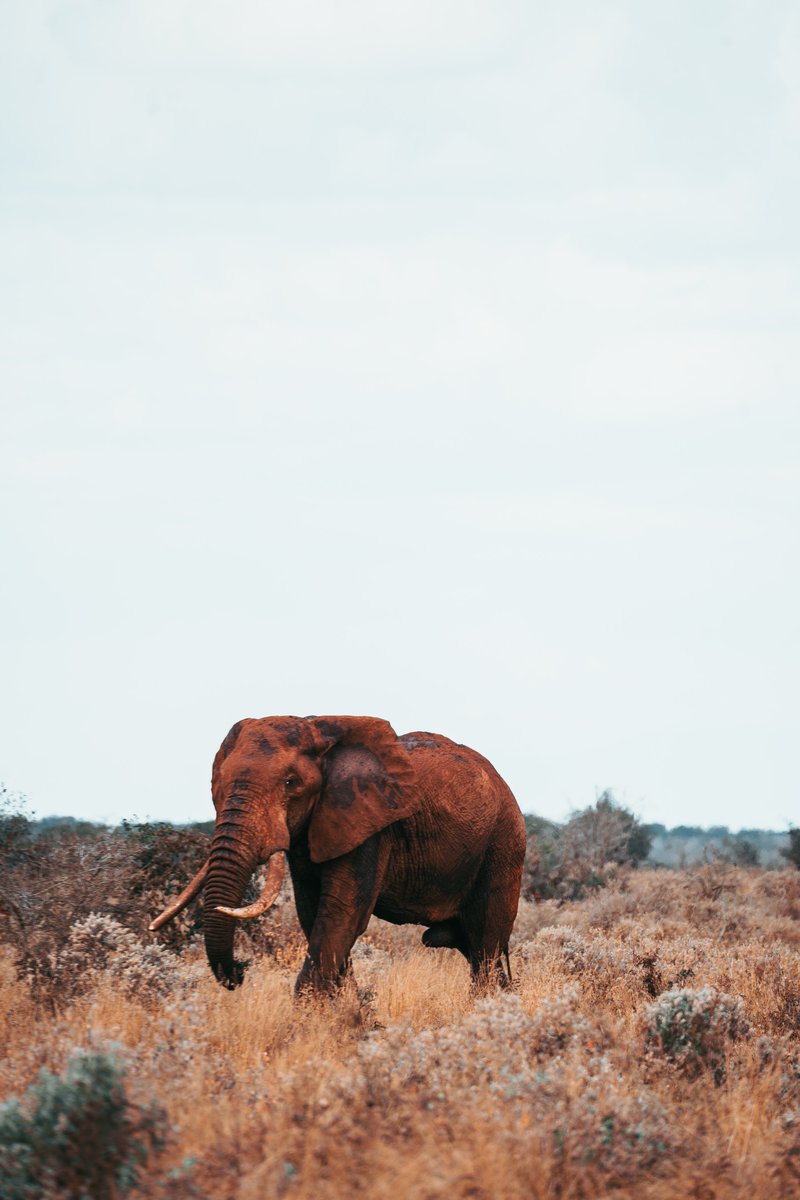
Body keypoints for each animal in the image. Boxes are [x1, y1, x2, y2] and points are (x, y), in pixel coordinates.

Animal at [149, 715, 527, 988]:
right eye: (218, 785)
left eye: (290, 783)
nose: (242, 970)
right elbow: (312, 915)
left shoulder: (371, 827)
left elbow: (339, 917)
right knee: (474, 947)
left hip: (503, 844)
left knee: (485, 943)